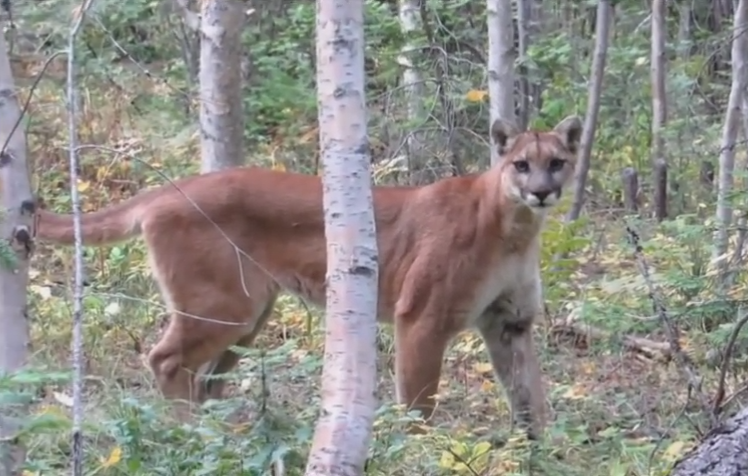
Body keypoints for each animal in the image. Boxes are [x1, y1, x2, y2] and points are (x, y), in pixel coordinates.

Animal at [35, 115, 583, 439]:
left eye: (557, 162)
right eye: (521, 165)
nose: (541, 192)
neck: (515, 229)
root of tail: (171, 188)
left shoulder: (510, 322)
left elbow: (531, 397)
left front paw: (544, 452)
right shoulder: (422, 319)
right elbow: (418, 404)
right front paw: (419, 452)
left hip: (251, 316)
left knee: (205, 377)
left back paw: (219, 435)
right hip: (225, 308)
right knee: (167, 361)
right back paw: (190, 436)